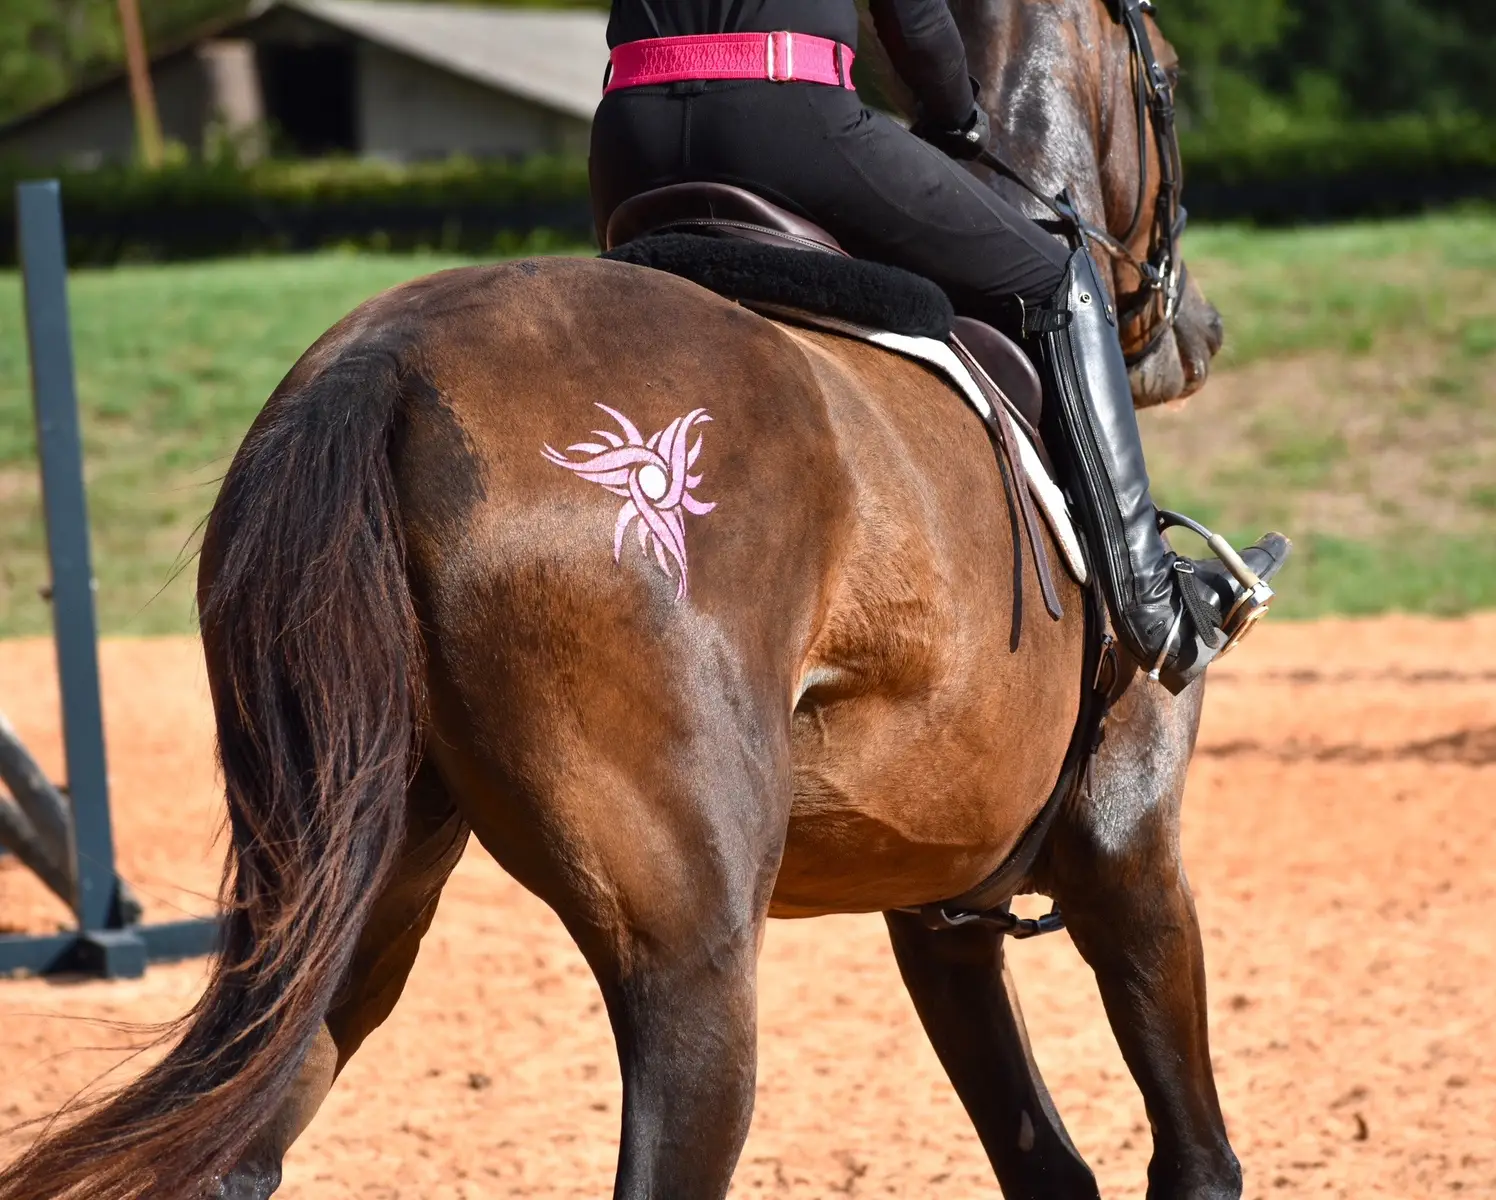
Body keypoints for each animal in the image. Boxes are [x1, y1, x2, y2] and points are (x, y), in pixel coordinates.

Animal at [0, 2, 1238, 1197]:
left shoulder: (937, 900)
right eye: (1167, 73)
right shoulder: (1127, 845)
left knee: (248, 1131)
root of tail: (382, 366)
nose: (1200, 331)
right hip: (688, 954)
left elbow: (1042, 1162)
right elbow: (1191, 1159)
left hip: (344, 891)